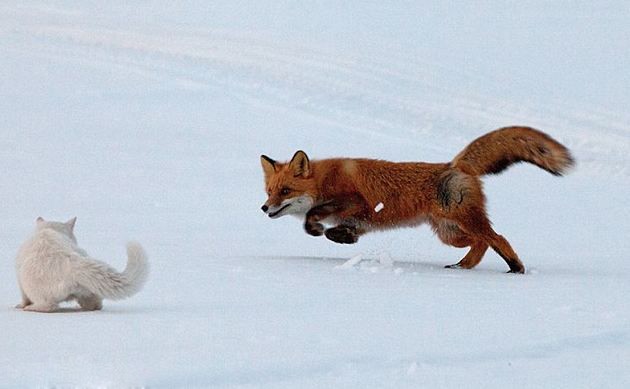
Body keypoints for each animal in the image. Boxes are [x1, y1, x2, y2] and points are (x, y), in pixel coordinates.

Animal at [15, 215, 149, 312]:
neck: (49, 230)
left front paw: (21, 305)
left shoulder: (20, 281)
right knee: (95, 305)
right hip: (88, 289)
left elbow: (24, 297)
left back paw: (30, 308)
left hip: (33, 285)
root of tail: (72, 265)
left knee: (48, 306)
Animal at [260, 126, 576, 272]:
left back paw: (515, 268)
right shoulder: (358, 219)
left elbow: (313, 215)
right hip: (450, 234)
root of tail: (455, 165)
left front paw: (316, 228)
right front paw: (342, 237)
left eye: (285, 191)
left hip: (463, 223)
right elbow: (343, 230)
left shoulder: (356, 200)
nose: (264, 208)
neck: (324, 179)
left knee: (498, 238)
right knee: (483, 242)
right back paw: (463, 266)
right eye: (269, 191)